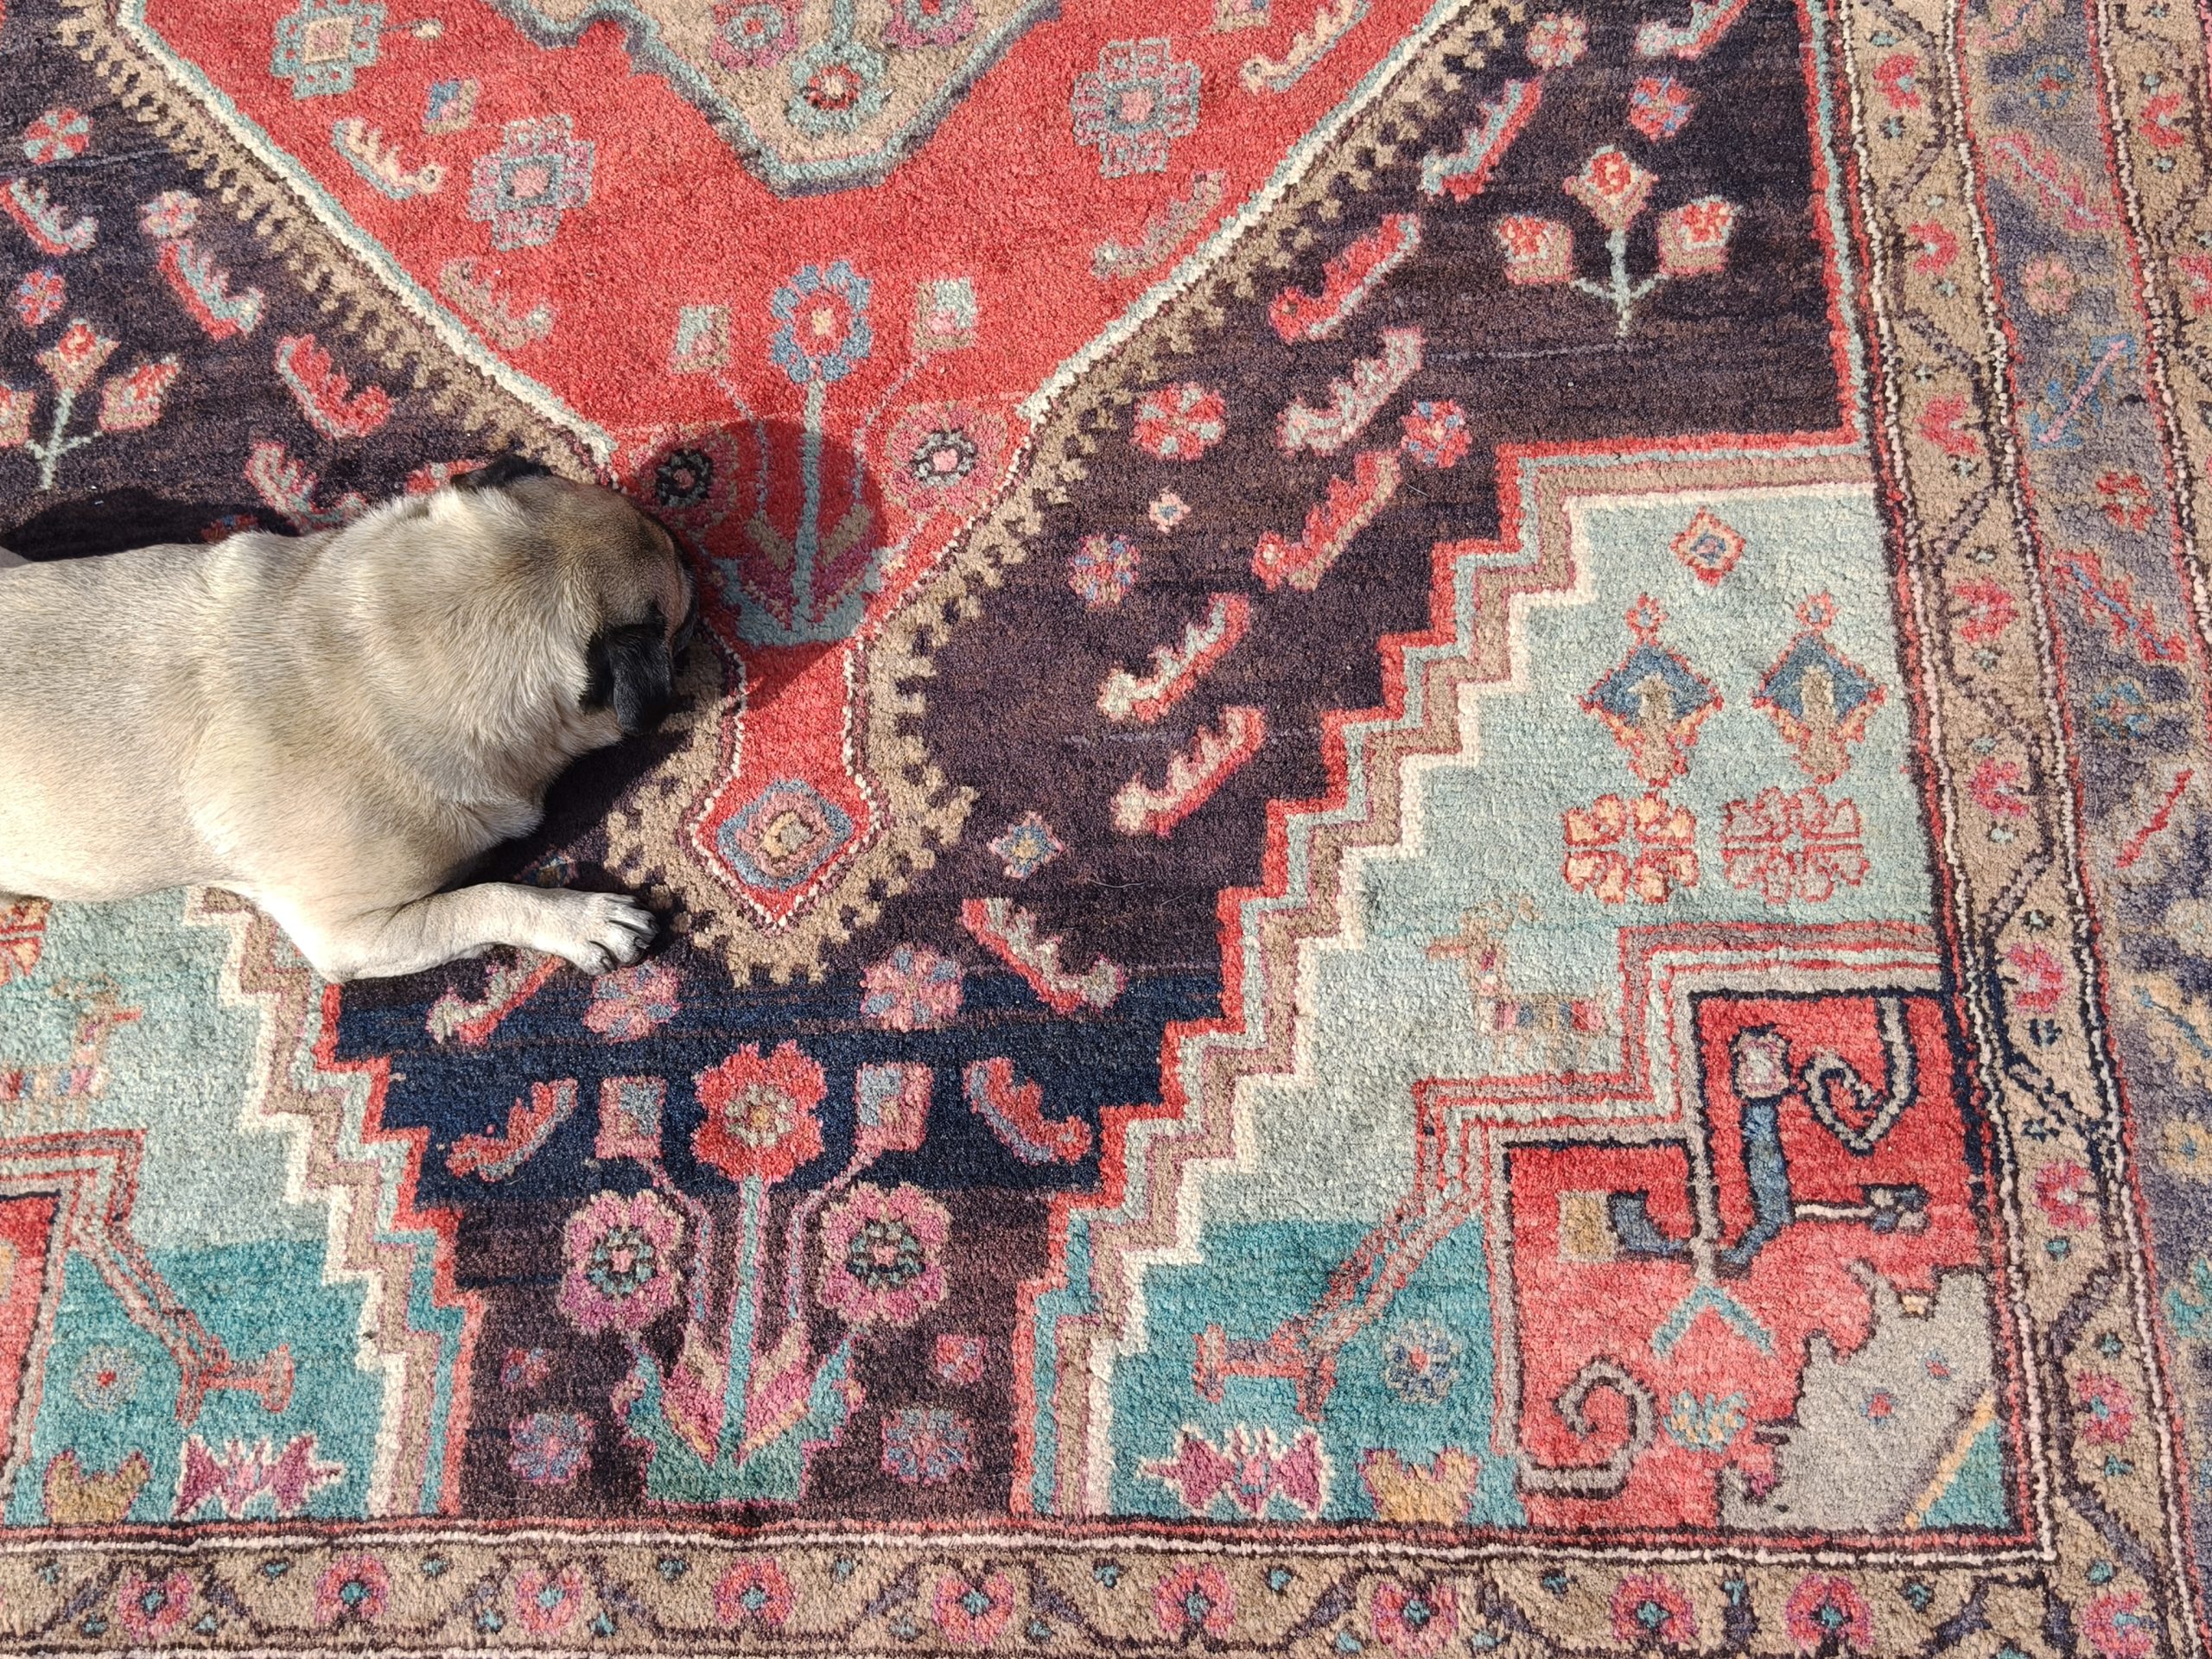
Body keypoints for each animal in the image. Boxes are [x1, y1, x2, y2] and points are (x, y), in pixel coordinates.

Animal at [0, 459, 693, 981]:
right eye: (676, 617)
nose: (686, 545)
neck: (365, 658)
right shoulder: (353, 933)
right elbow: (486, 899)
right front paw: (578, 922)